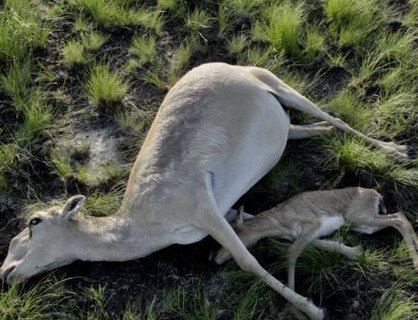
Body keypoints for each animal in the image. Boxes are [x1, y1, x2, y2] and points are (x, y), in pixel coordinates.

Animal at [0, 63, 412, 320]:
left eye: (34, 221)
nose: (5, 272)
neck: (143, 220)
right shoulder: (227, 212)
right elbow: (272, 231)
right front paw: (351, 250)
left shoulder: (205, 209)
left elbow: (248, 260)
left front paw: (313, 308)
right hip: (283, 116)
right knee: (306, 129)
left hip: (278, 83)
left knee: (335, 118)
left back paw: (398, 151)